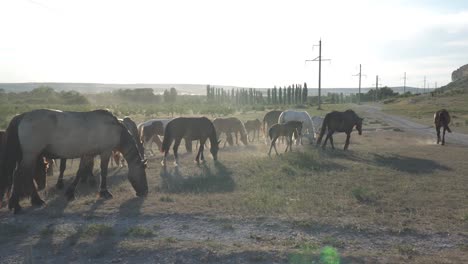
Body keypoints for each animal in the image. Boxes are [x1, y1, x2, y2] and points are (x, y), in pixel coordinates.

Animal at [0, 108, 148, 213]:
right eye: (142, 172)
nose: (145, 192)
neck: (115, 128)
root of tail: (22, 115)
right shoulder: (105, 153)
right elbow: (104, 171)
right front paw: (104, 192)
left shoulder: (88, 154)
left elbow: (80, 172)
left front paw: (70, 193)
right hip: (30, 155)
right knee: (20, 175)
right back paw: (18, 205)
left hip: (29, 156)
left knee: (25, 176)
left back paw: (32, 201)